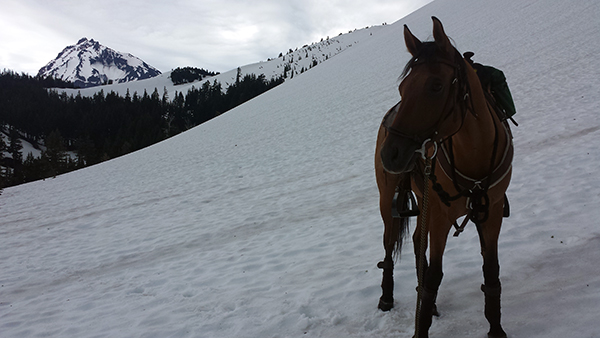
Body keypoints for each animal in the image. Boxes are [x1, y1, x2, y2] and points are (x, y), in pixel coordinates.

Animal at [376, 16, 510, 338]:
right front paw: (420, 326)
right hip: (389, 201)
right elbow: (434, 277)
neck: (474, 153)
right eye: (403, 88)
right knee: (389, 244)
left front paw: (496, 328)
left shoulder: (492, 211)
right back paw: (386, 296)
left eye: (436, 86)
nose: (390, 155)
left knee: (415, 241)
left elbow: (491, 271)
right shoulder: (439, 216)